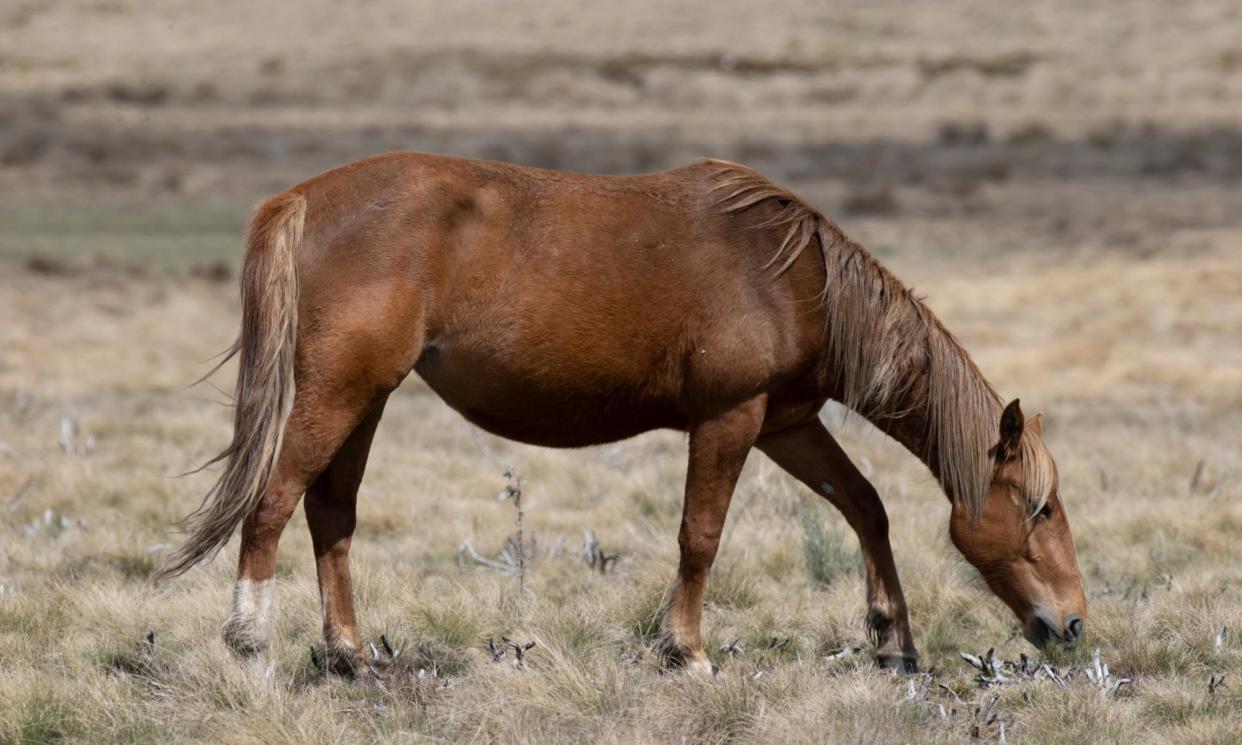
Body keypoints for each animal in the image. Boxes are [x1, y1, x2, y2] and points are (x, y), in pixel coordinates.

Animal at [155, 151, 1087, 675]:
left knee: (331, 512)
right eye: (1039, 508)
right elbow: (700, 535)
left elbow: (866, 505)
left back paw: (349, 655)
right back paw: (251, 644)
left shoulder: (786, 423)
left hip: (367, 399)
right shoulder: (731, 419)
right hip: (337, 392)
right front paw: (687, 651)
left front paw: (893, 640)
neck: (796, 279)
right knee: (273, 503)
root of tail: (304, 199)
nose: (1074, 622)